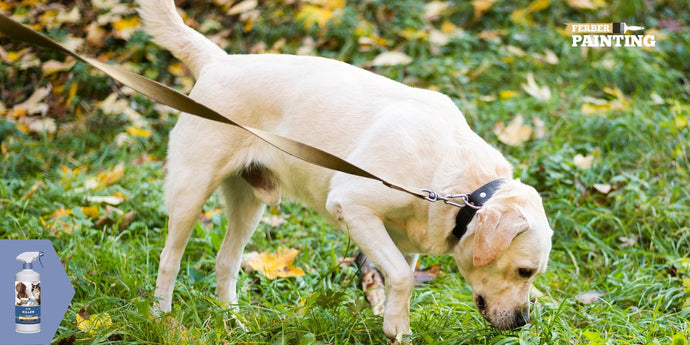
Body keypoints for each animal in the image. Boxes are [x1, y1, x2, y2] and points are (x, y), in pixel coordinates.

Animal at [137, 0, 552, 338]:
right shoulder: (352, 206)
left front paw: (394, 326)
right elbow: (401, 277)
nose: (523, 322)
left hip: (248, 205)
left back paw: (234, 322)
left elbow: (399, 280)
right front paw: (397, 326)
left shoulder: (403, 241)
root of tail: (218, 61)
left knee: (226, 262)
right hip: (190, 193)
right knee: (169, 260)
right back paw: (161, 319)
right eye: (525, 272)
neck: (461, 188)